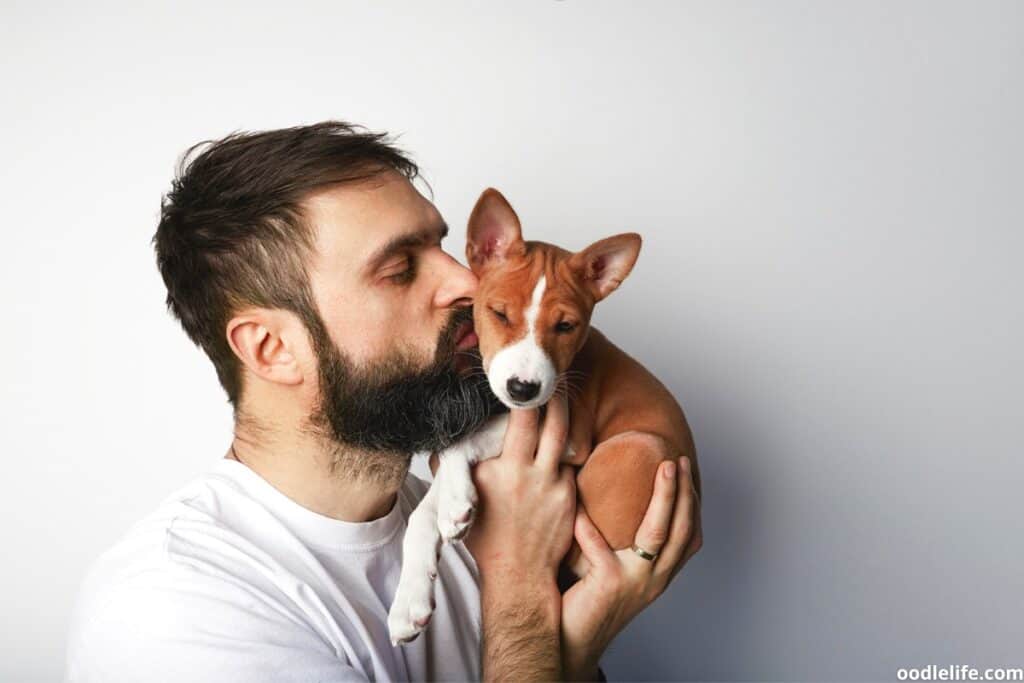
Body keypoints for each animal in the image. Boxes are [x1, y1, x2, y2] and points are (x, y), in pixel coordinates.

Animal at [387, 188, 700, 647]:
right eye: (499, 314)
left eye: (566, 326)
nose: (522, 389)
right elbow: (423, 512)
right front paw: (411, 598)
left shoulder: (569, 434)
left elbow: (461, 445)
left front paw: (456, 498)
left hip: (638, 446)